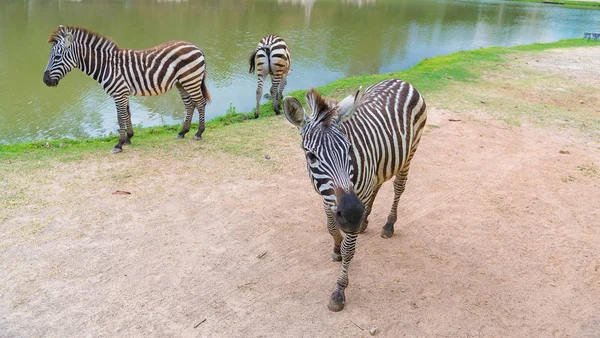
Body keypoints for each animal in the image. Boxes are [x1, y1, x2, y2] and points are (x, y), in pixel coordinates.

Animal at [42, 25, 211, 152]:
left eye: (57, 57)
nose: (45, 80)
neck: (106, 65)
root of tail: (195, 47)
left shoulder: (119, 93)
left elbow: (120, 117)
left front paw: (119, 144)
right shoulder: (123, 93)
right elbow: (127, 114)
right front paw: (129, 138)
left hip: (191, 80)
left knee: (200, 103)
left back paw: (199, 133)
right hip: (181, 83)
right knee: (190, 105)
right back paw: (183, 132)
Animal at [282, 78, 426, 312]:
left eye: (349, 148)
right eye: (311, 156)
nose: (352, 214)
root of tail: (401, 80)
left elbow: (350, 249)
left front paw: (339, 291)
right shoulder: (327, 198)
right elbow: (332, 228)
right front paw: (336, 249)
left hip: (410, 153)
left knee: (398, 187)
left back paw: (388, 224)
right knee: (377, 185)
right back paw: (365, 221)